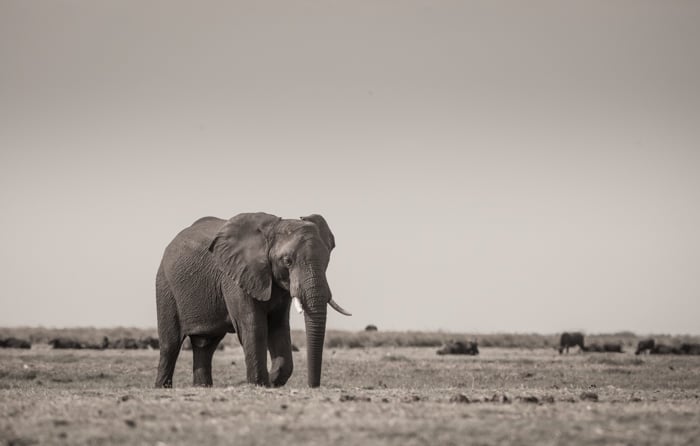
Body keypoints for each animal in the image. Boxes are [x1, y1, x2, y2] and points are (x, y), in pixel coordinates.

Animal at [155, 212, 350, 388]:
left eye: (327, 260)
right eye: (287, 261)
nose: (313, 386)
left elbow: (278, 326)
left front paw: (271, 381)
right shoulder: (235, 277)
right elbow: (253, 326)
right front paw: (260, 383)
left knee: (206, 346)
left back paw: (202, 388)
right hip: (165, 286)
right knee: (170, 344)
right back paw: (162, 387)